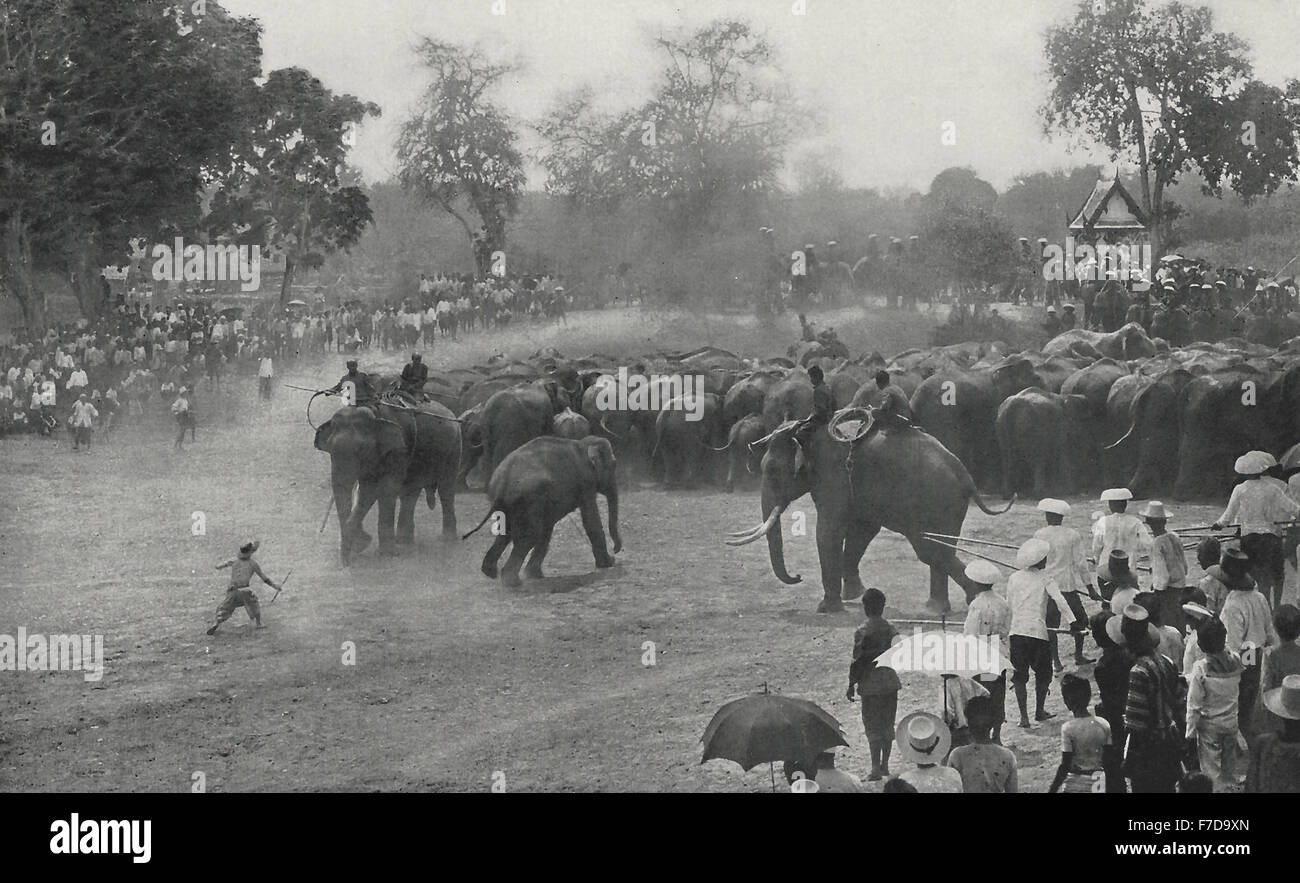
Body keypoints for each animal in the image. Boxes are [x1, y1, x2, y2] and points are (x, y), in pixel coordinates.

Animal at [312, 403, 460, 561]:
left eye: (362, 449)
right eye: (330, 448)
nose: (346, 563)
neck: (376, 414)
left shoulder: (398, 450)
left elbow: (382, 489)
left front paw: (385, 554)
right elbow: (367, 490)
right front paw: (363, 544)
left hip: (454, 448)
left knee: (446, 489)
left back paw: (446, 539)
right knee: (410, 493)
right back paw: (403, 541)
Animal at [465, 434, 621, 587]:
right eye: (614, 464)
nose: (615, 550)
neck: (584, 443)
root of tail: (502, 483)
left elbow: (548, 527)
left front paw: (534, 574)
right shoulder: (586, 482)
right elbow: (590, 520)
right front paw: (608, 564)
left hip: (512, 504)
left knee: (506, 533)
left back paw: (491, 573)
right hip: (529, 498)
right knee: (530, 535)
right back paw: (512, 582)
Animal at [733, 418, 1013, 613]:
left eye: (772, 470)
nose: (798, 576)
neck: (804, 431)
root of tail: (966, 477)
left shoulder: (832, 475)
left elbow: (829, 531)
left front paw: (827, 608)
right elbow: (862, 530)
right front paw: (854, 594)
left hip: (937, 501)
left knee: (929, 549)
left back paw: (972, 597)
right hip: (947, 506)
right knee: (938, 549)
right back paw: (936, 607)